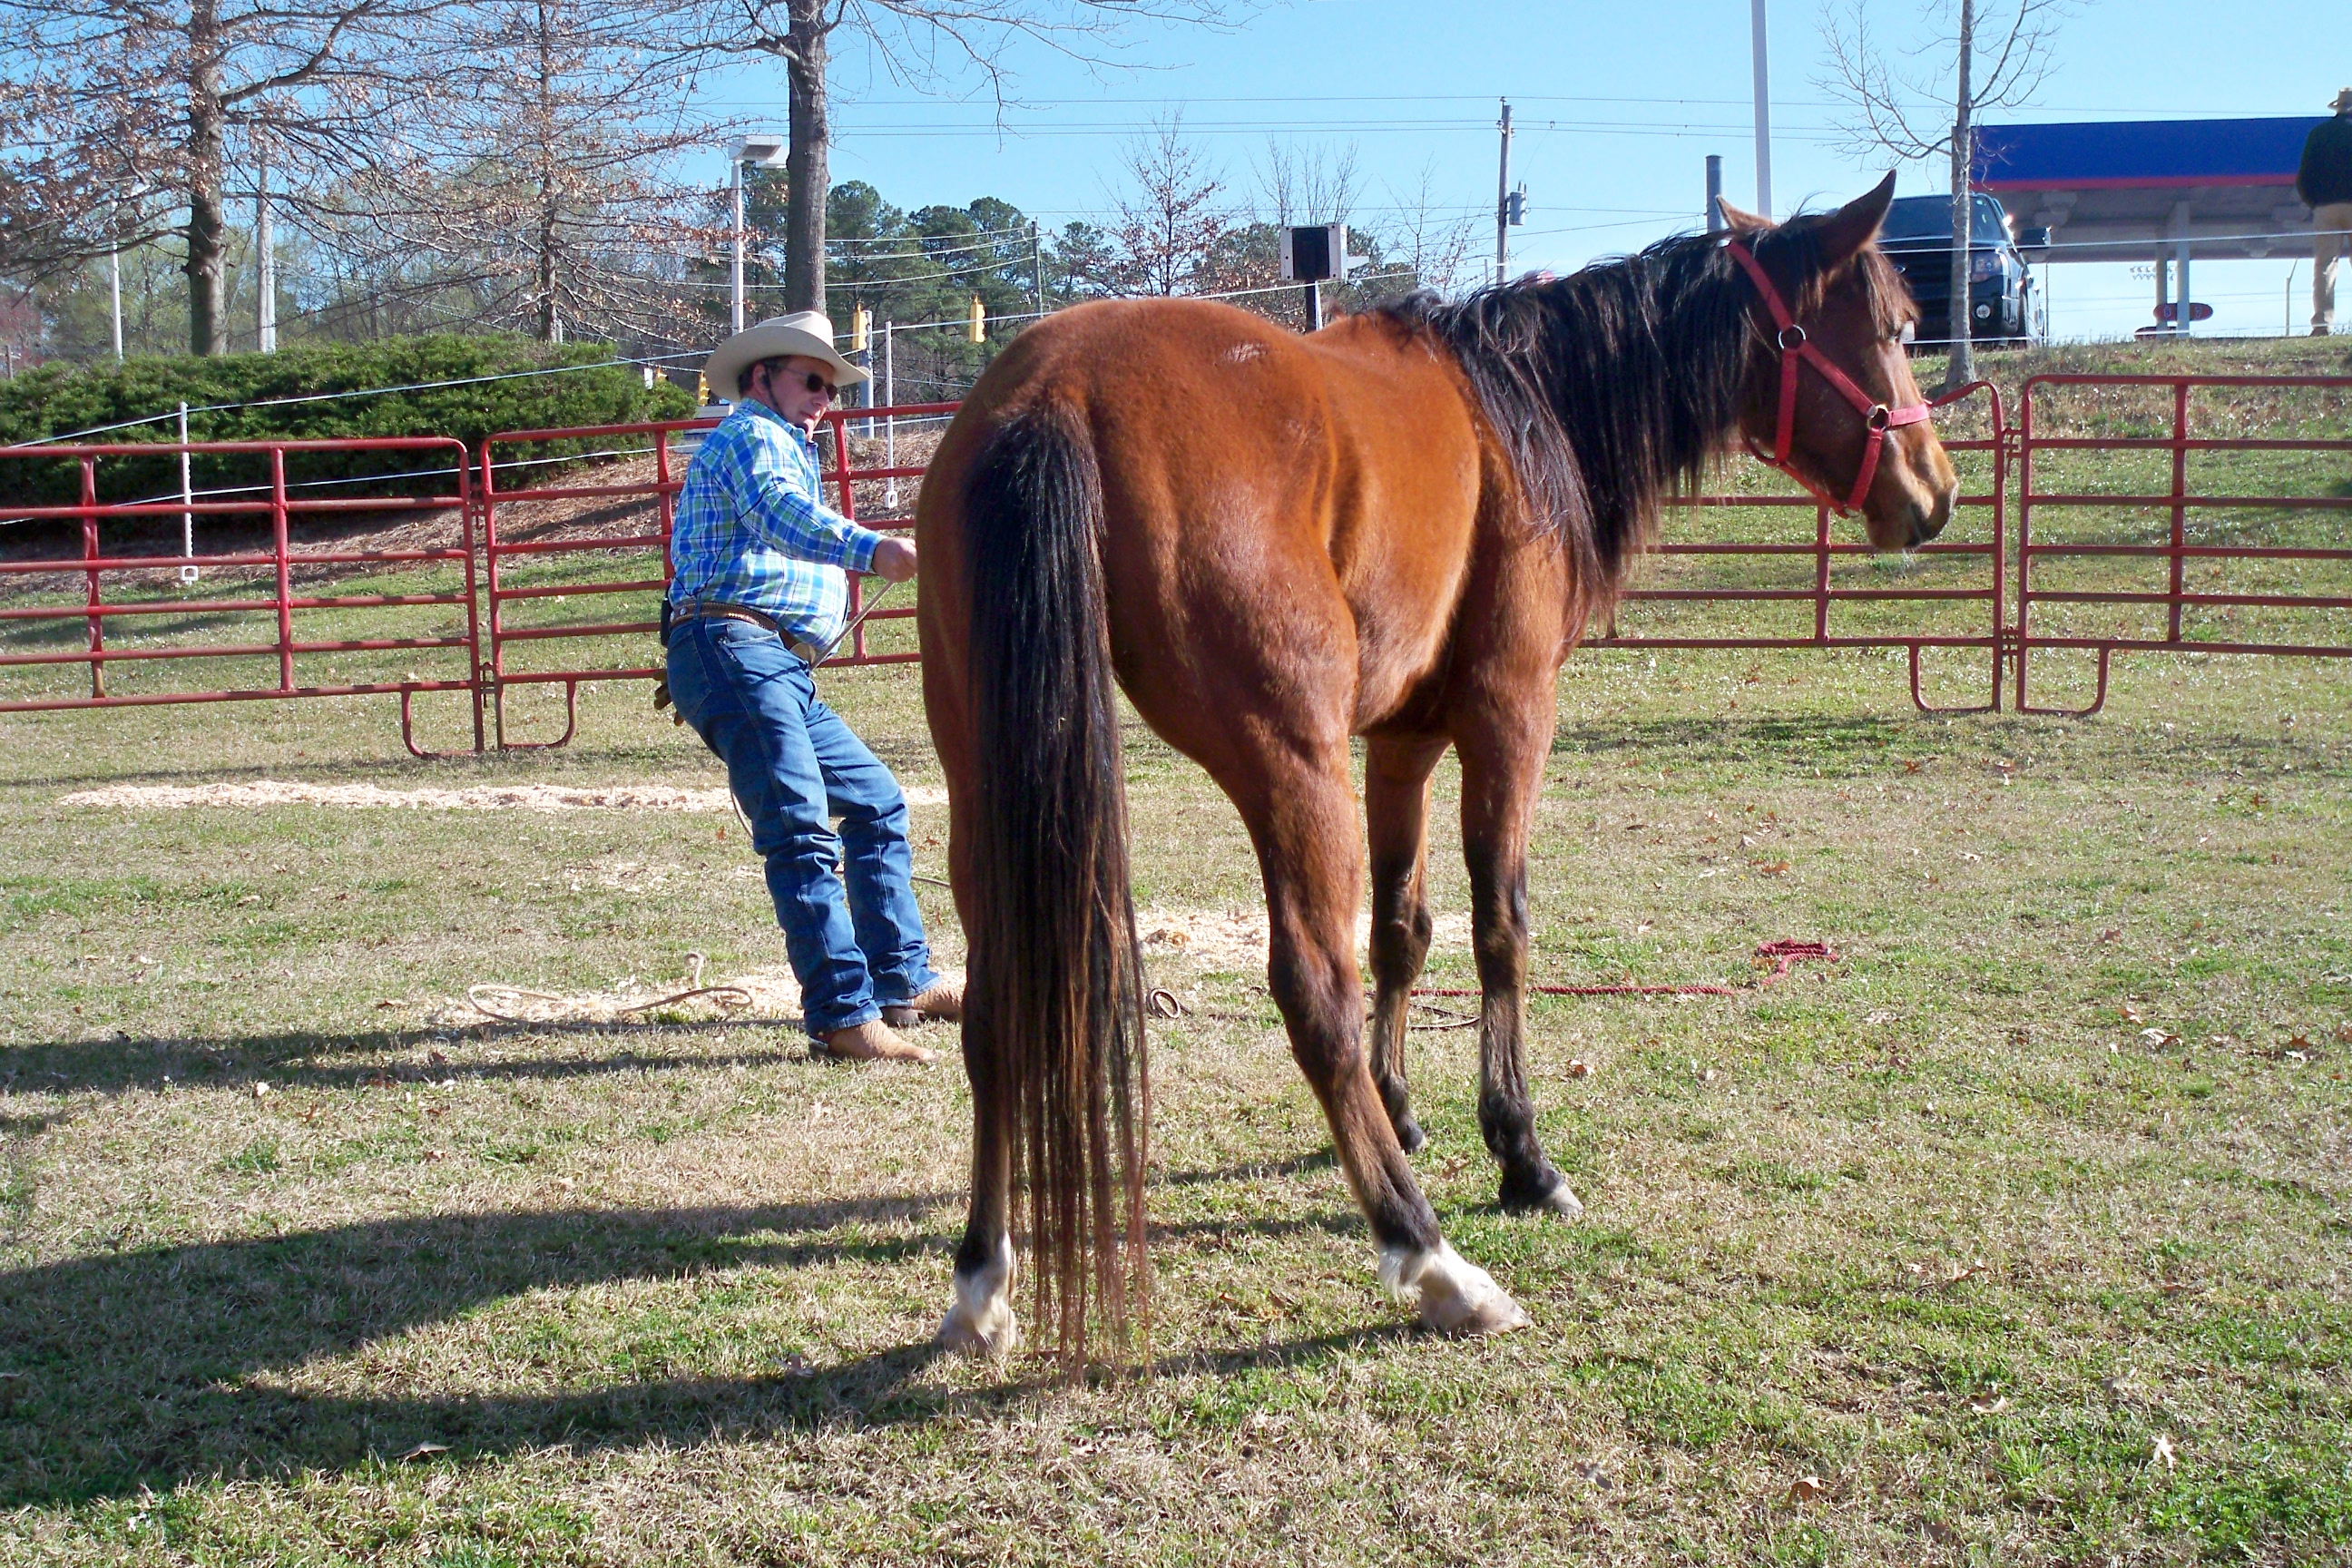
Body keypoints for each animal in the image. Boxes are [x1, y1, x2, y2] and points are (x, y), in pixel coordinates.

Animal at [912, 169, 1947, 1354]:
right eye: (1893, 327)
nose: (1935, 494)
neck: (1517, 409)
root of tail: (1056, 393)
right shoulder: (1510, 713)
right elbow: (1500, 926)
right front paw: (1520, 1153)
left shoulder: (1400, 741)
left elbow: (1403, 932)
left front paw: (1401, 1110)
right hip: (1289, 766)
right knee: (1314, 993)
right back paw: (1432, 1257)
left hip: (990, 776)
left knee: (995, 1006)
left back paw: (982, 1280)